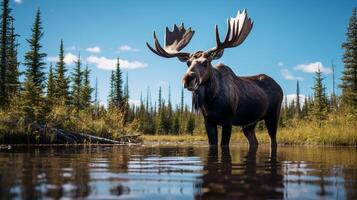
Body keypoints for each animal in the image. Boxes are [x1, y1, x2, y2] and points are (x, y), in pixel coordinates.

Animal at [146, 9, 282, 150]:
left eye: (205, 62)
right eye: (188, 63)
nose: (188, 79)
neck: (211, 99)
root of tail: (279, 86)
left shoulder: (228, 120)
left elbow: (224, 145)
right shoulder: (209, 121)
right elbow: (213, 144)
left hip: (273, 115)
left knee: (273, 141)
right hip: (249, 123)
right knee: (254, 141)